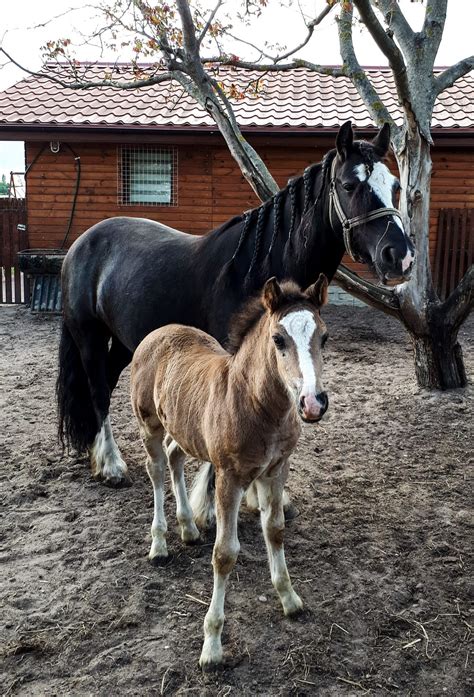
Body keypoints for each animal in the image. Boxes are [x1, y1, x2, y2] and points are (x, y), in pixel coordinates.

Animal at [57, 121, 414, 484]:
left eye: (395, 186)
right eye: (349, 184)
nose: (400, 256)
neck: (255, 266)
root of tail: (82, 243)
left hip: (125, 342)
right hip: (89, 336)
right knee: (99, 390)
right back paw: (111, 465)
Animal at [130, 274, 330, 668]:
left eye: (324, 337)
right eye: (278, 339)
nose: (313, 403)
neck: (257, 405)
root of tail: (159, 331)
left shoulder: (276, 470)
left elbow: (275, 530)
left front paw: (290, 600)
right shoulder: (228, 478)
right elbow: (224, 554)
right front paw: (212, 645)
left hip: (185, 428)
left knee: (175, 458)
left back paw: (189, 528)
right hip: (149, 425)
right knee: (156, 470)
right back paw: (159, 543)